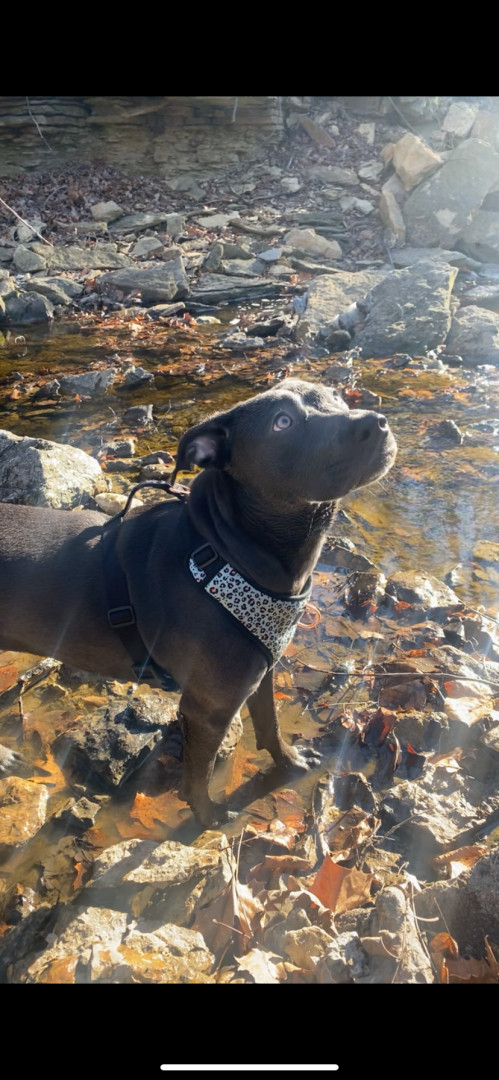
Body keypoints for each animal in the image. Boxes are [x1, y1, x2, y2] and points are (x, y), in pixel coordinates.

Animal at [0, 379, 396, 826]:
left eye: (336, 396)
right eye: (282, 422)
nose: (376, 423)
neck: (225, 550)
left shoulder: (261, 672)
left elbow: (270, 727)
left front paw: (291, 762)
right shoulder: (208, 707)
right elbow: (198, 776)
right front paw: (208, 816)